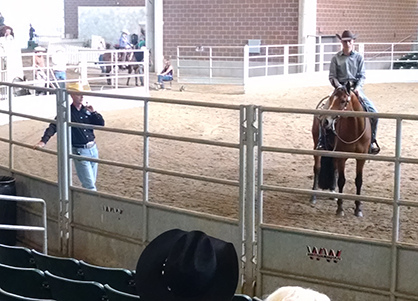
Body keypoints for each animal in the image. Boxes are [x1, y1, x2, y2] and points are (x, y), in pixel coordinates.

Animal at [310, 82, 372, 216]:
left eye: (343, 101)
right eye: (331, 98)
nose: (326, 121)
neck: (355, 129)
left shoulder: (361, 158)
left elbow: (359, 180)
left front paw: (358, 209)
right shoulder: (342, 156)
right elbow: (342, 180)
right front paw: (340, 209)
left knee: (333, 167)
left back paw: (333, 192)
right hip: (317, 146)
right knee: (317, 168)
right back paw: (313, 196)